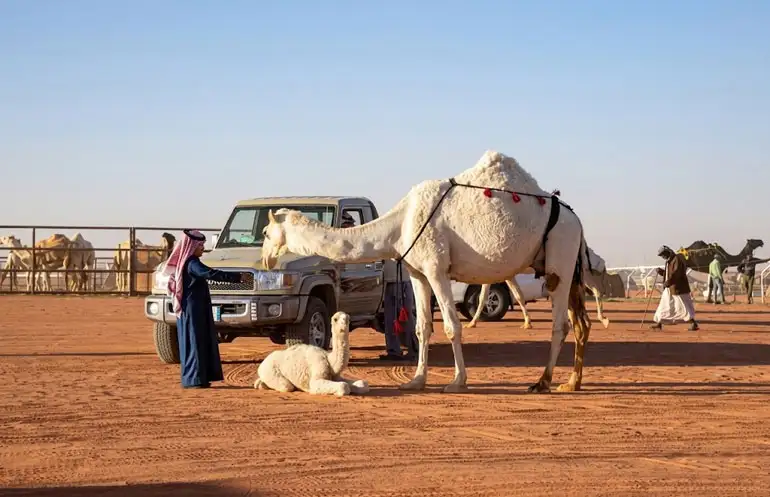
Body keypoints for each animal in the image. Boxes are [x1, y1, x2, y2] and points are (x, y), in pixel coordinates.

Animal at [261, 150, 593, 394]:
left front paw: (457, 382)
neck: (399, 225)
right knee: (581, 322)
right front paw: (416, 381)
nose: (265, 260)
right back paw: (571, 383)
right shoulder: (417, 273)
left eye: (264, 231)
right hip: (563, 266)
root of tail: (577, 221)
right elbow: (422, 327)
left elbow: (452, 326)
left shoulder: (437, 268)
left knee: (561, 324)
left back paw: (543, 381)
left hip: (560, 255)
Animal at [466, 245, 611, 330]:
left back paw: (602, 319)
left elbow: (483, 297)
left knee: (595, 290)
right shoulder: (508, 274)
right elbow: (519, 295)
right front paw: (527, 323)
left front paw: (472, 323)